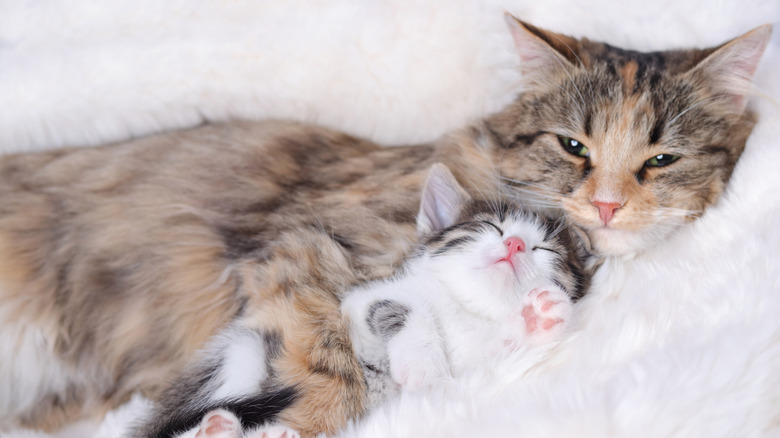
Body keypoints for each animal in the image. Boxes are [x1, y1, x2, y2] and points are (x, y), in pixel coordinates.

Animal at [189, 164, 584, 438]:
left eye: (545, 250)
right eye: (491, 227)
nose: (515, 245)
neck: (462, 307)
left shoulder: (474, 367)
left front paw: (536, 315)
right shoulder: (361, 298)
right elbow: (403, 307)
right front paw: (424, 367)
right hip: (245, 352)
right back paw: (218, 429)